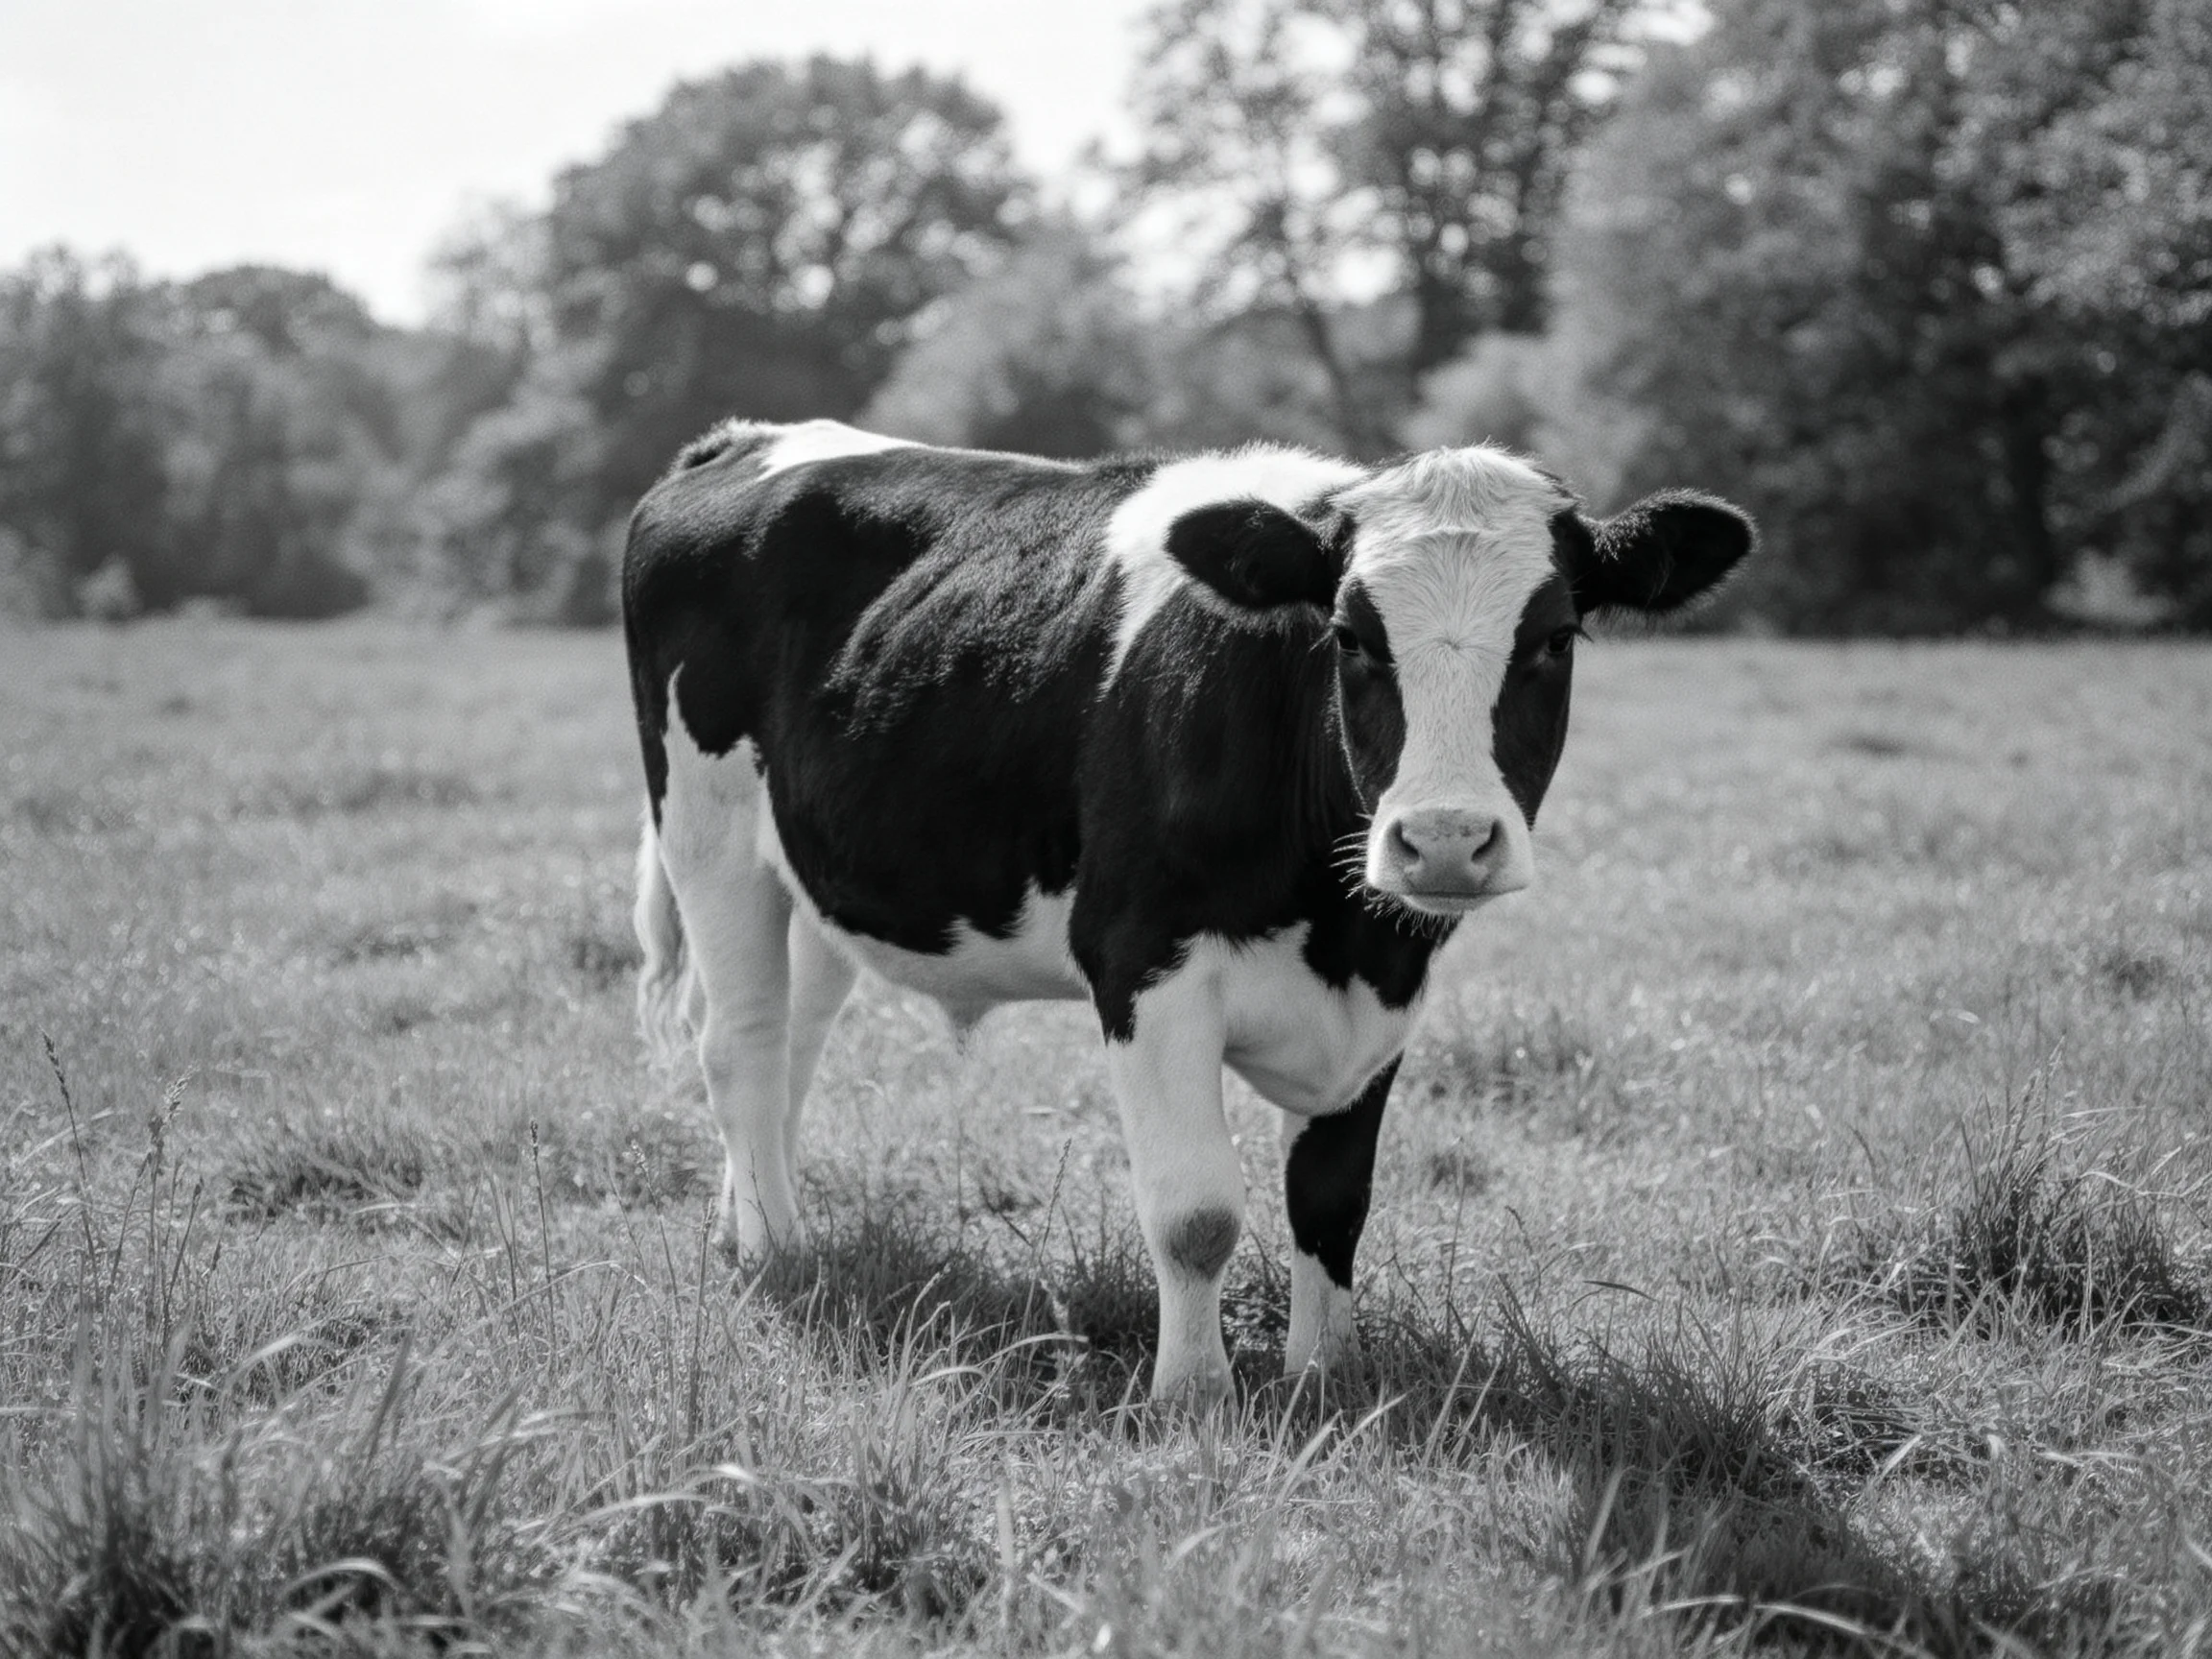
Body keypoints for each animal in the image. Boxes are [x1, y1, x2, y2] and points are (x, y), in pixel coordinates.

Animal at [622, 418, 1752, 1403]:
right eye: (1349, 636)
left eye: (1555, 638)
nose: (1442, 839)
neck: (1338, 930)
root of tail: (740, 441)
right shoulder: (1141, 961)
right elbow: (1198, 1214)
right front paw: (1195, 1399)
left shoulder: (1388, 997)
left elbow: (1333, 1203)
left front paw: (1321, 1381)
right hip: (708, 831)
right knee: (742, 1044)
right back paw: (776, 1254)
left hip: (814, 875)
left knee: (794, 1046)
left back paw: (752, 1223)